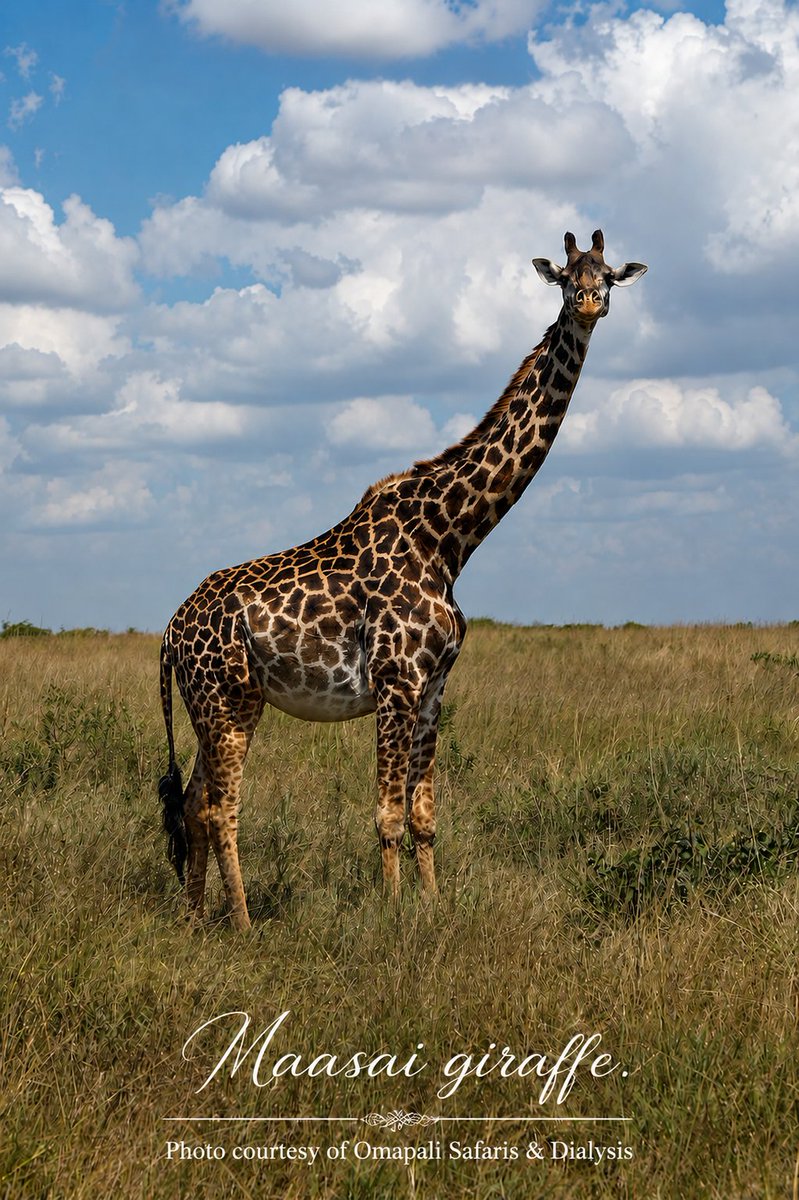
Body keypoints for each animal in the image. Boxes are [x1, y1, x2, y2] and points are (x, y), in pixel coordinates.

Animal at [159, 230, 646, 930]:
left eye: (607, 275)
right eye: (563, 278)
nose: (587, 304)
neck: (451, 537)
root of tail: (169, 632)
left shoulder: (436, 685)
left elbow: (424, 815)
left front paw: (432, 908)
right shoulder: (396, 681)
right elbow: (387, 815)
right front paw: (392, 919)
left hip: (214, 706)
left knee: (195, 802)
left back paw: (197, 918)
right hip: (229, 702)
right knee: (220, 807)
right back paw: (244, 923)